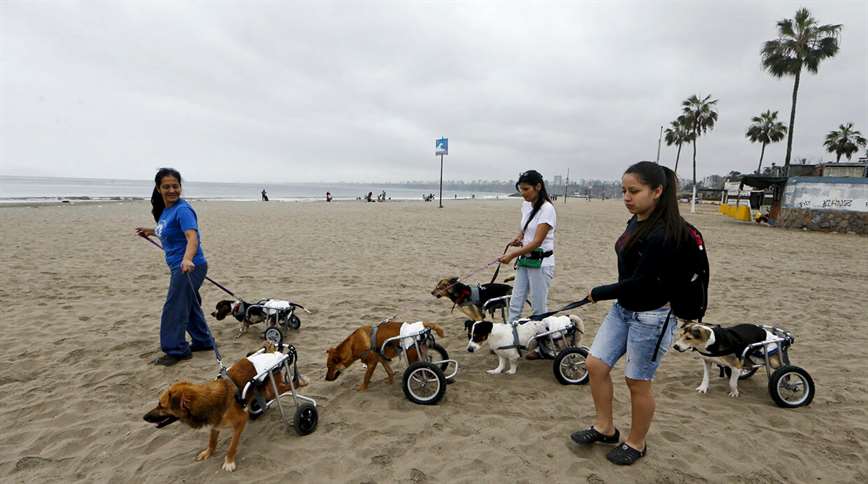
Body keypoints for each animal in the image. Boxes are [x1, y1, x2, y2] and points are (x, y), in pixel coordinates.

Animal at [141, 344, 306, 472]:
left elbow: (232, 446)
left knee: (291, 385)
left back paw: (302, 382)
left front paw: (229, 462)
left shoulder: (240, 421)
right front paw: (208, 453)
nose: (144, 417)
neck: (206, 400)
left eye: (161, 405)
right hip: (263, 389)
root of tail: (273, 353)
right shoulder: (215, 424)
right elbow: (212, 441)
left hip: (272, 386)